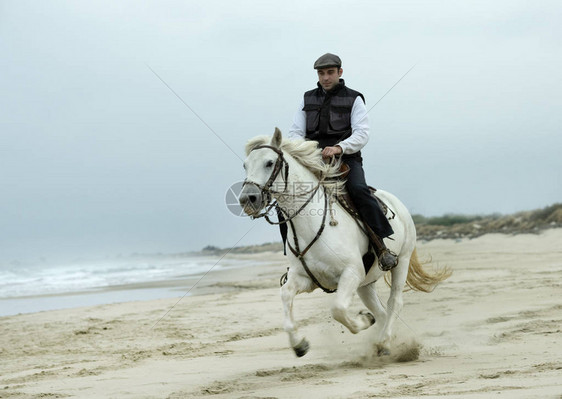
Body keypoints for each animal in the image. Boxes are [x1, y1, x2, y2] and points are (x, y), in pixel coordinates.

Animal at [238, 128, 448, 356]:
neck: (311, 225)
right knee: (381, 311)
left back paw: (384, 343)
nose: (247, 200)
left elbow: (338, 309)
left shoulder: (351, 273)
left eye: (269, 163)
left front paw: (364, 321)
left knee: (394, 302)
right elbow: (285, 295)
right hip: (366, 283)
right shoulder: (306, 279)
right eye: (245, 165)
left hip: (401, 261)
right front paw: (299, 344)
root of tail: (398, 204)